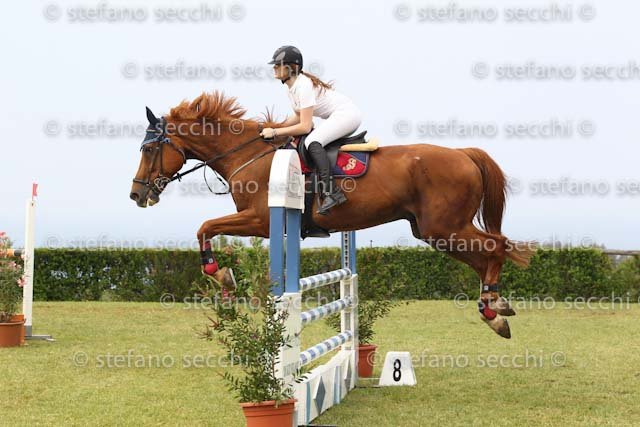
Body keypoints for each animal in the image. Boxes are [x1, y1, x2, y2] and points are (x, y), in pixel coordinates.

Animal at [129, 91, 535, 338]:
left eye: (148, 149)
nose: (137, 194)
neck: (247, 153)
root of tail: (464, 154)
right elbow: (206, 229)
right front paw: (224, 279)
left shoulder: (260, 220)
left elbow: (204, 227)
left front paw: (220, 275)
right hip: (434, 231)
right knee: (486, 255)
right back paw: (495, 307)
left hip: (445, 227)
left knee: (496, 247)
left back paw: (493, 310)